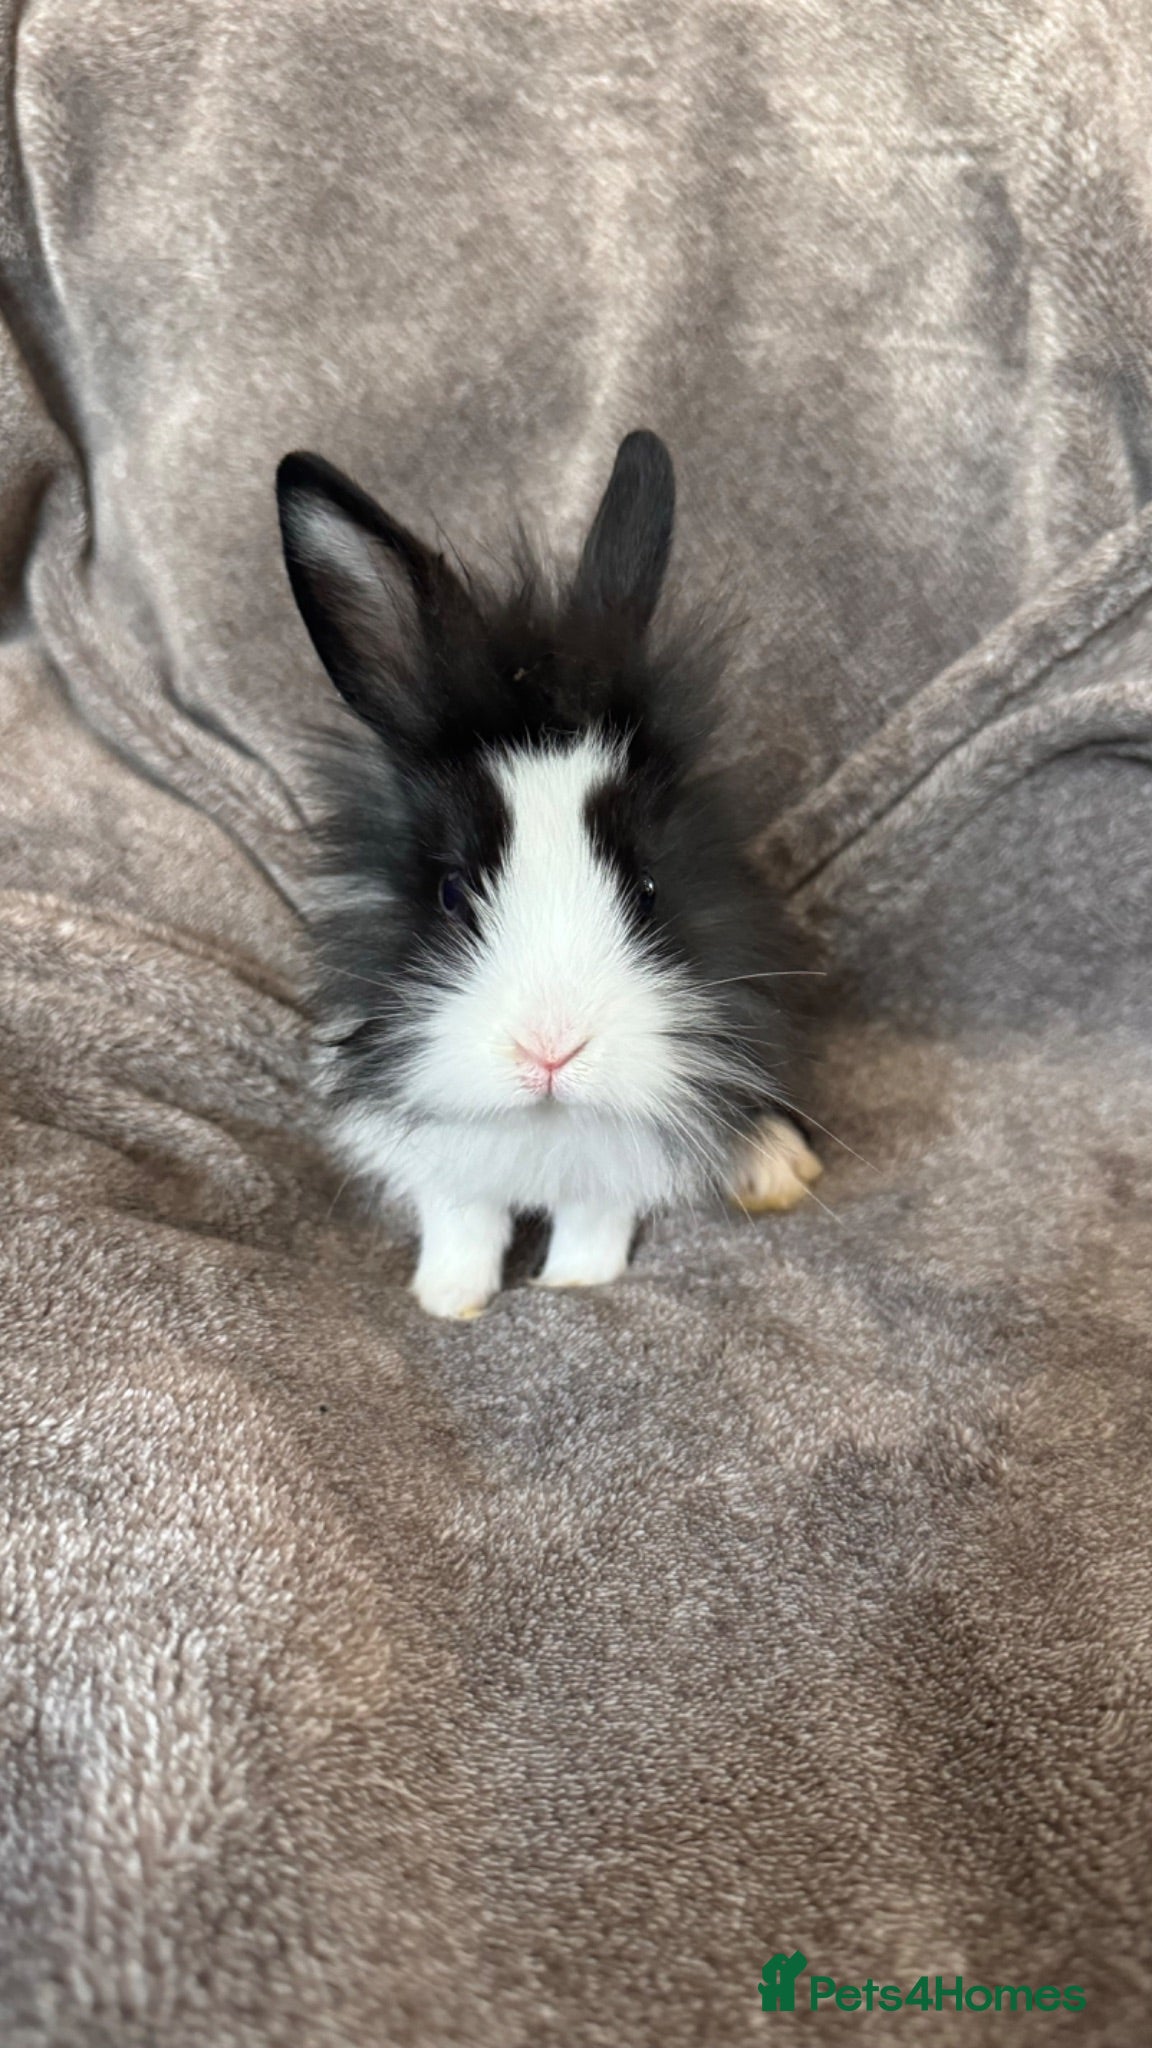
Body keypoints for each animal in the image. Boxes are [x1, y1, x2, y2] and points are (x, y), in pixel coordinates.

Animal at [276, 430, 821, 1319]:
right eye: (451, 890)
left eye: (647, 889)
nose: (552, 1051)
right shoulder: (446, 1159)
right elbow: (462, 1228)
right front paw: (446, 1302)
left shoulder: (617, 1165)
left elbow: (594, 1225)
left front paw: (572, 1286)